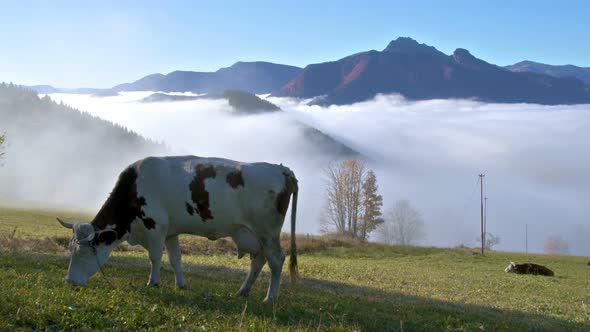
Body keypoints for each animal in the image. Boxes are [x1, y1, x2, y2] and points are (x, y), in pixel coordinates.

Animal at [57, 156, 300, 304]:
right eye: (70, 249)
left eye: (84, 252)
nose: (69, 281)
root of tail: (282, 169)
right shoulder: (171, 231)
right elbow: (175, 259)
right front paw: (181, 284)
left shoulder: (155, 225)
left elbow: (155, 257)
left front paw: (153, 282)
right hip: (254, 234)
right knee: (259, 260)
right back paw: (243, 291)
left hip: (267, 232)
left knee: (276, 260)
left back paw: (270, 297)